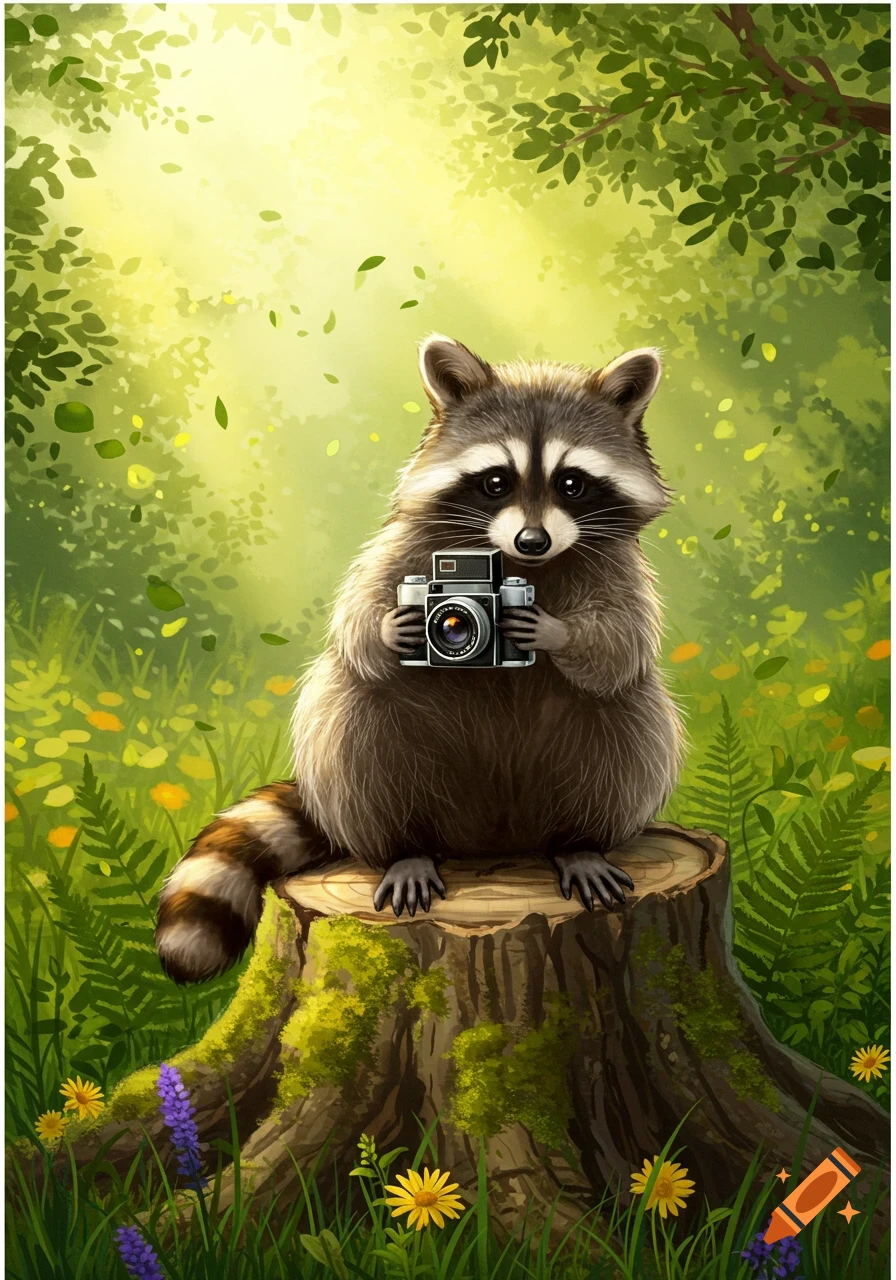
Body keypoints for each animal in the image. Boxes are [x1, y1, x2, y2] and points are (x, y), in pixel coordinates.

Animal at [155, 335, 683, 983]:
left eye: (572, 484)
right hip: (380, 775)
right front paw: (389, 628)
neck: (513, 564)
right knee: (355, 715)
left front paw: (552, 630)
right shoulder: (401, 548)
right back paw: (403, 850)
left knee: (629, 723)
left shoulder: (618, 566)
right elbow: (356, 629)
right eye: (496, 481)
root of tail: (491, 844)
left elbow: (620, 649)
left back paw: (579, 841)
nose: (533, 541)